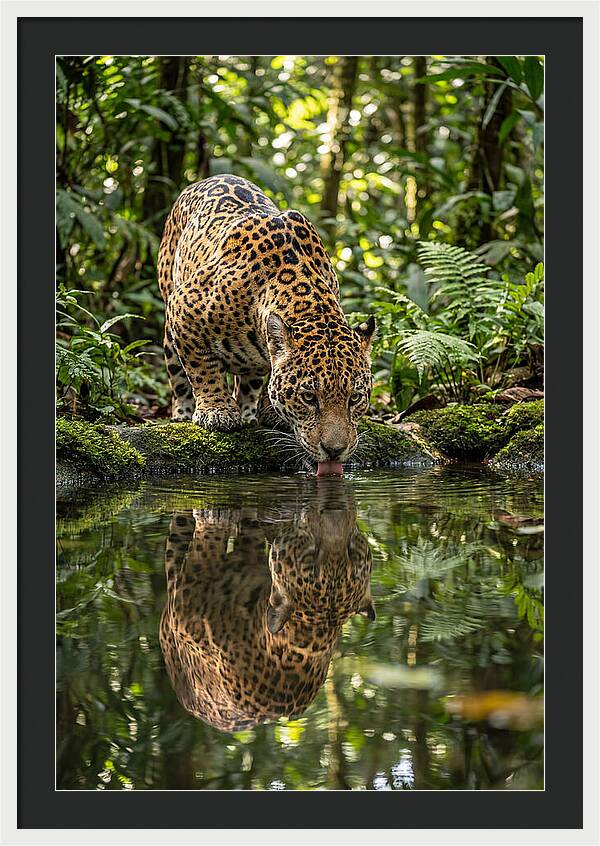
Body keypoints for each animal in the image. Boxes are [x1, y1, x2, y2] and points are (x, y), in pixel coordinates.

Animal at [157, 174, 376, 474]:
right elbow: (202, 369)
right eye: (309, 397)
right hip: (169, 316)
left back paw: (249, 412)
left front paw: (271, 412)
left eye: (354, 398)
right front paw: (217, 411)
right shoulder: (183, 308)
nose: (334, 451)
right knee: (178, 376)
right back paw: (182, 413)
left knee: (248, 379)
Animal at [158, 482, 374, 732]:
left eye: (352, 552)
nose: (335, 510)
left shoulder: (186, 603)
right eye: (311, 556)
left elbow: (208, 544)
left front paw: (215, 516)